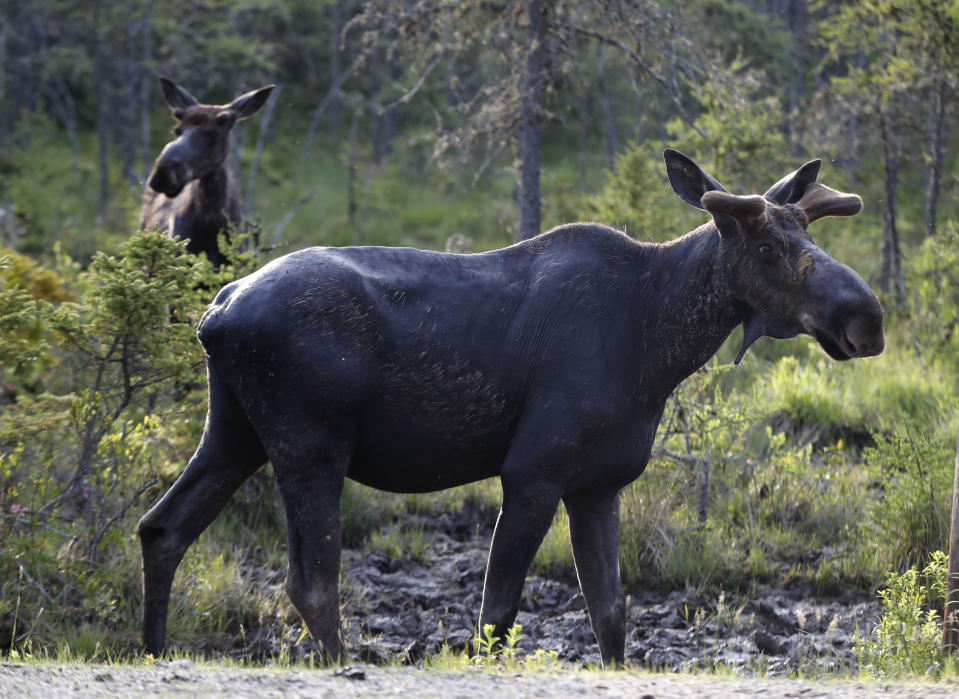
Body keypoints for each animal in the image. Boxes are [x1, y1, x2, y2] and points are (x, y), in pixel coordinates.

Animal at [137, 152, 884, 668]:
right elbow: (495, 615)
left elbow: (610, 613)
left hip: (234, 434)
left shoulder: (598, 484)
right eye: (766, 246)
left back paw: (149, 652)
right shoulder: (532, 473)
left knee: (161, 529)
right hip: (309, 446)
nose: (866, 318)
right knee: (311, 584)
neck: (659, 343)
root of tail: (215, 313)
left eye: (810, 235)